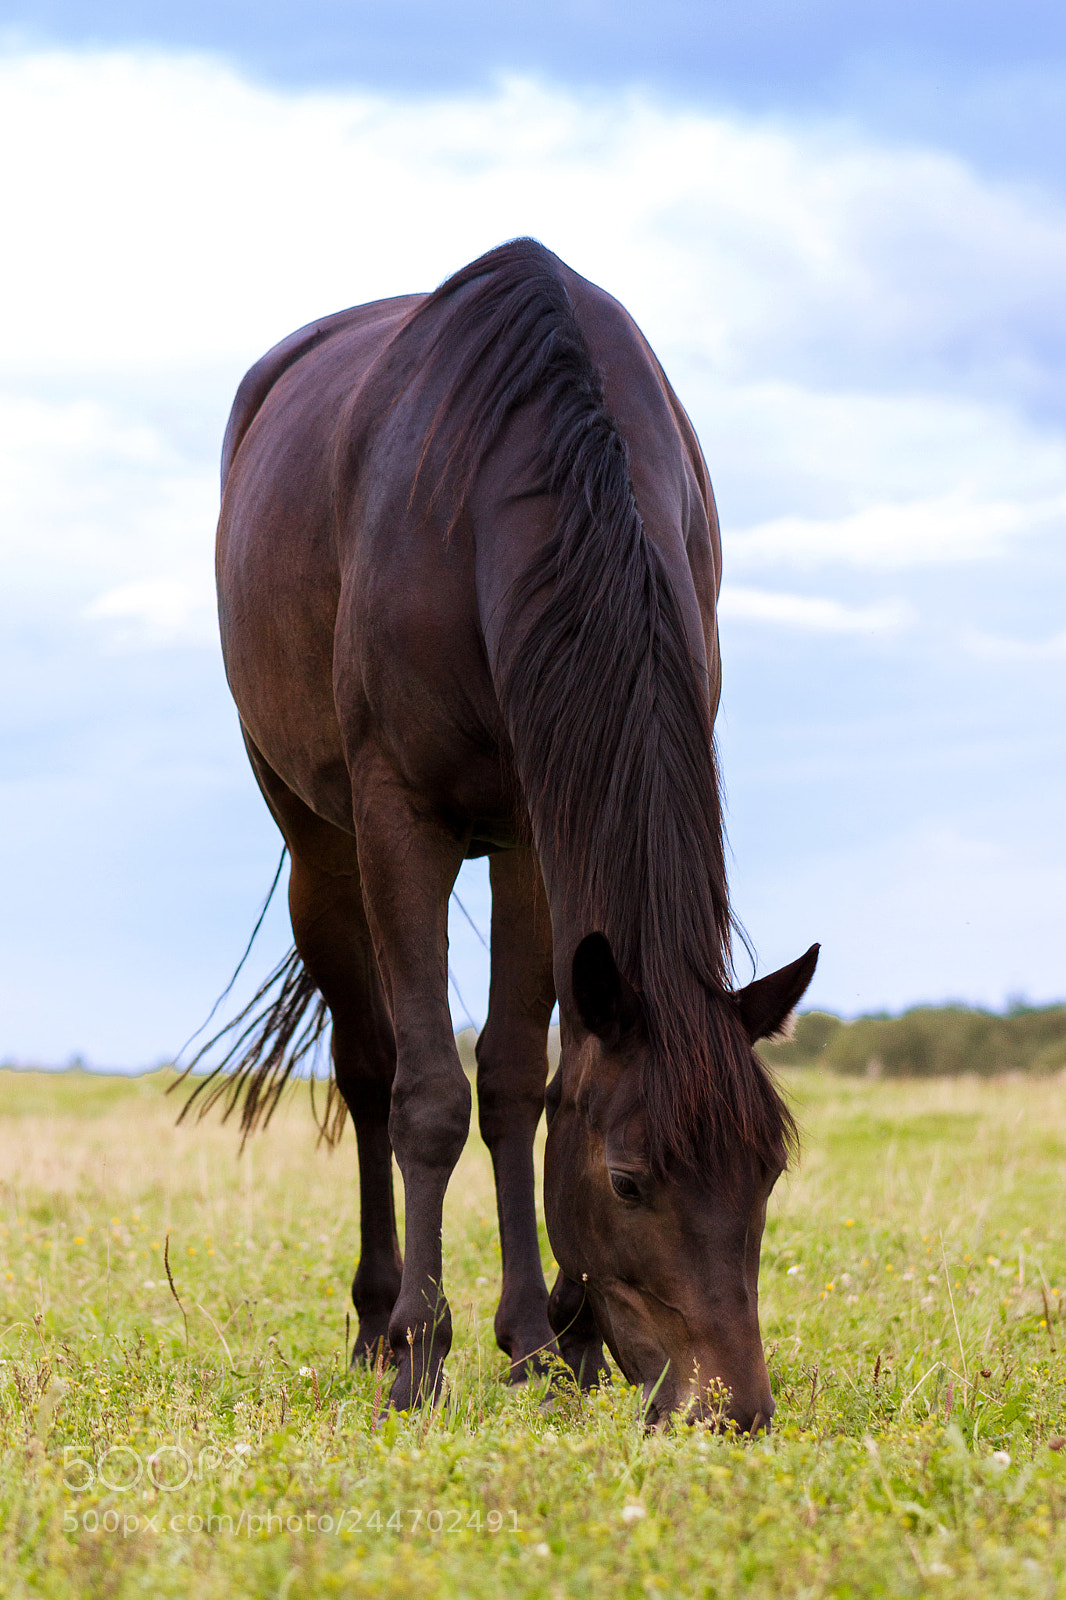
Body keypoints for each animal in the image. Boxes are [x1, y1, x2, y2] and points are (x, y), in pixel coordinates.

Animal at [188, 239, 818, 1431]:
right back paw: (375, 1322)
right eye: (628, 1181)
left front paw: (544, 1338)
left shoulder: (536, 828)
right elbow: (431, 1095)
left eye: (767, 1170)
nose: (730, 1410)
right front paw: (422, 1356)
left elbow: (525, 1080)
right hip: (322, 847)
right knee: (369, 1070)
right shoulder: (405, 820)